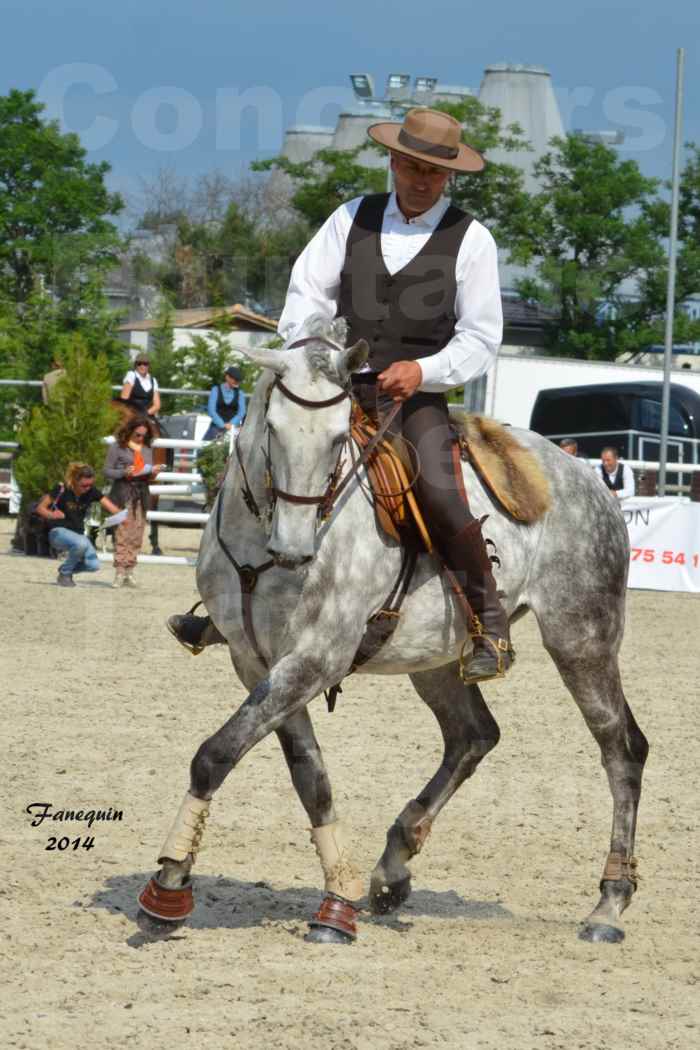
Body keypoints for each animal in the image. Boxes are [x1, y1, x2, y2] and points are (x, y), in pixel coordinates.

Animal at [139, 317, 650, 944]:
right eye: (273, 430)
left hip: (582, 639)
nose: (296, 548)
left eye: (339, 439)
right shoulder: (257, 662)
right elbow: (310, 779)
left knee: (621, 749)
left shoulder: (315, 658)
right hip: (439, 659)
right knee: (473, 736)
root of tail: (592, 481)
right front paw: (337, 901)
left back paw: (609, 905)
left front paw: (168, 885)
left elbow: (216, 753)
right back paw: (393, 867)